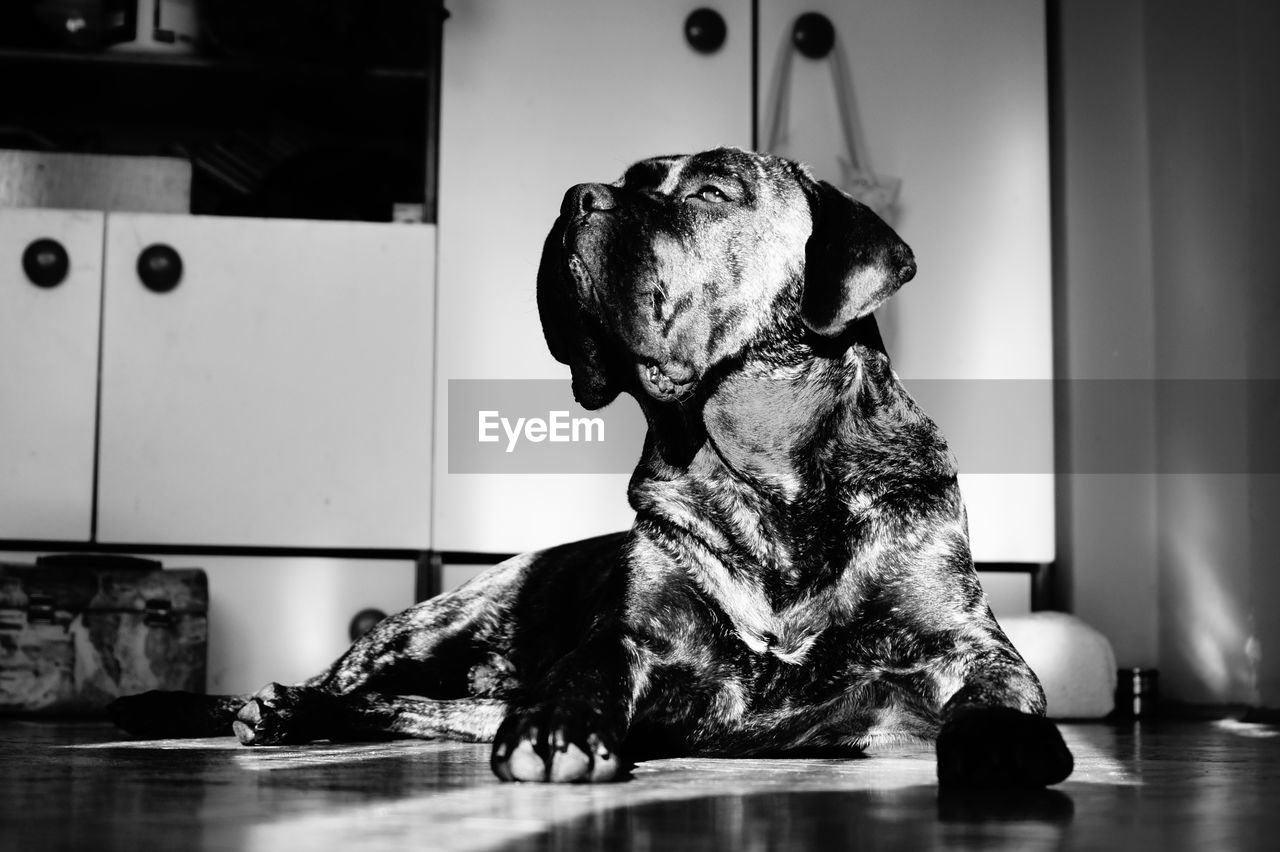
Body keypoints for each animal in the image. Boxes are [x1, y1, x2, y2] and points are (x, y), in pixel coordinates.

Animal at [110, 147, 1075, 788]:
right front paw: (559, 724)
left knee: (422, 706)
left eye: (711, 193)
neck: (763, 477)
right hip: (432, 623)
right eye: (634, 175)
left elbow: (998, 685)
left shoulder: (966, 641)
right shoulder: (636, 636)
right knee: (359, 681)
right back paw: (285, 707)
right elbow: (591, 665)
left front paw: (1002, 741)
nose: (577, 197)